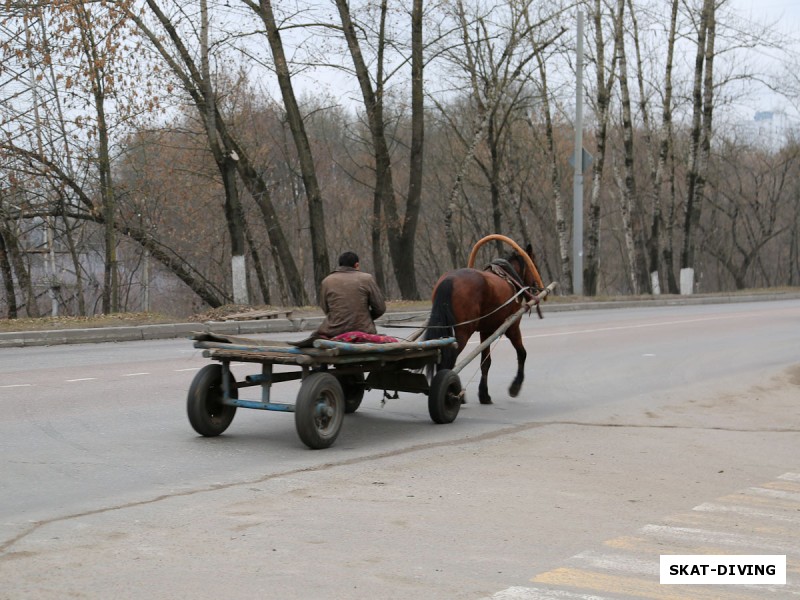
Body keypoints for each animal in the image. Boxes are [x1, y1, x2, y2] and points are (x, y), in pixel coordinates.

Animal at [424, 245, 544, 408]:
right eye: (534, 265)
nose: (537, 287)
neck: (510, 277)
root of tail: (449, 279)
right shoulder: (512, 327)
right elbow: (522, 353)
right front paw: (515, 387)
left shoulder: (486, 331)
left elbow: (485, 362)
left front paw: (484, 395)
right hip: (463, 333)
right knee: (449, 360)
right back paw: (453, 393)